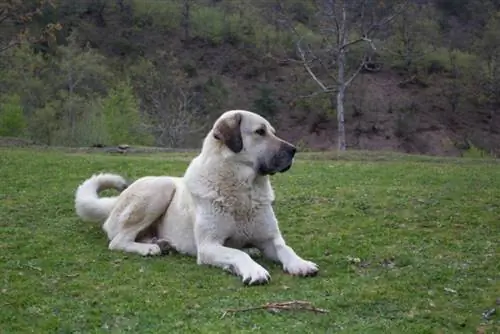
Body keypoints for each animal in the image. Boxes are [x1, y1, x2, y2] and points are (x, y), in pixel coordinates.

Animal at [74, 109, 316, 284]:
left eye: (273, 131)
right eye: (260, 132)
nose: (294, 150)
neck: (242, 190)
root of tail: (117, 200)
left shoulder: (269, 239)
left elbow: (285, 248)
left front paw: (300, 263)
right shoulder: (209, 246)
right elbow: (238, 255)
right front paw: (254, 271)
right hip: (161, 187)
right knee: (118, 240)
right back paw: (150, 248)